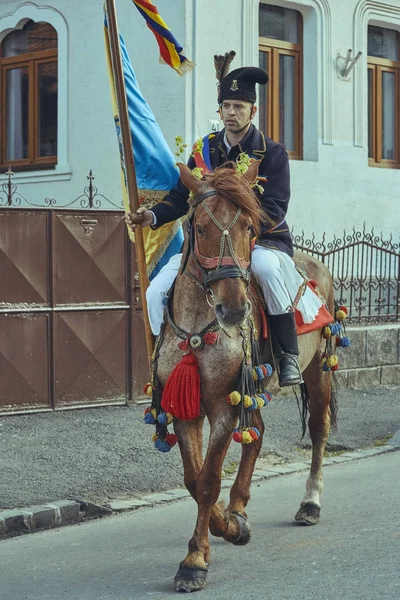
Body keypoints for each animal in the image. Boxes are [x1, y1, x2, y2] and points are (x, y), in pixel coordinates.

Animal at [153, 161, 334, 596]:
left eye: (251, 227)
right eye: (200, 226)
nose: (234, 309)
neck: (199, 328)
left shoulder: (222, 406)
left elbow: (207, 481)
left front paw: (195, 560)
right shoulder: (187, 408)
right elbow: (192, 479)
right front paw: (227, 524)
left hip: (317, 371)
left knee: (319, 430)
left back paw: (310, 504)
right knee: (259, 432)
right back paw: (238, 507)